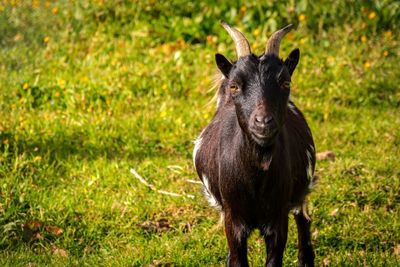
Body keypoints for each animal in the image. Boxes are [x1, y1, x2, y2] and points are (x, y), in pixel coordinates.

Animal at [193, 22, 316, 266]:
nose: (263, 122)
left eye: (285, 82)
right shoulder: (233, 220)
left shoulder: (278, 219)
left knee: (303, 218)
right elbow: (238, 260)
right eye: (235, 86)